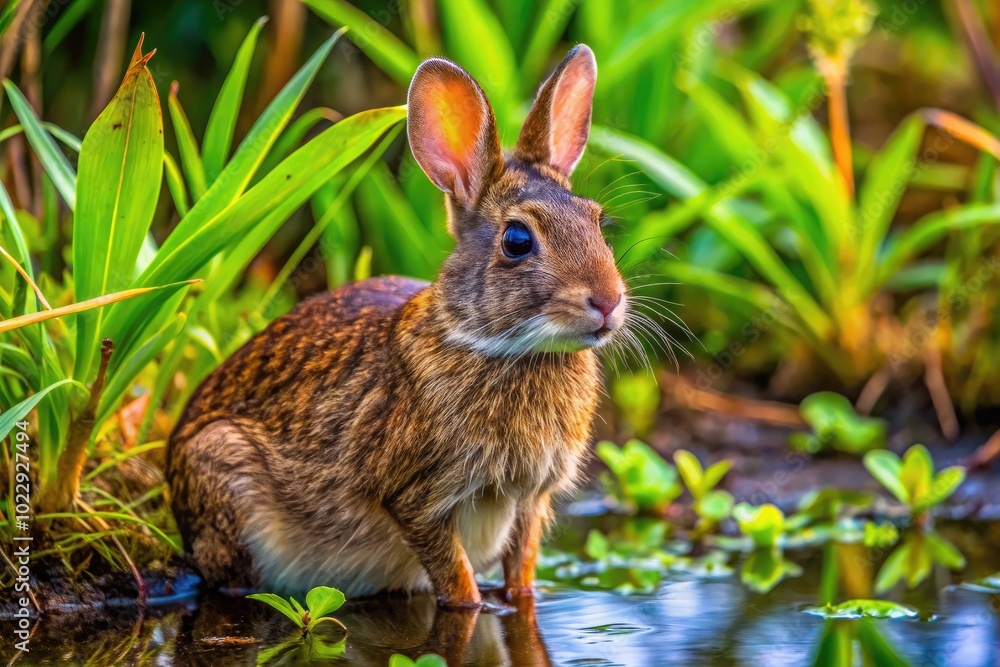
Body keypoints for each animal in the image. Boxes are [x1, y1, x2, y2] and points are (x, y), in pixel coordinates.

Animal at [166, 44, 626, 610]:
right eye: (517, 240)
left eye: (598, 223)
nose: (608, 301)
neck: (500, 345)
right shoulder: (417, 499)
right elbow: (455, 579)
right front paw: (473, 606)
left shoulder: (531, 500)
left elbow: (521, 569)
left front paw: (520, 601)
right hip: (225, 474)